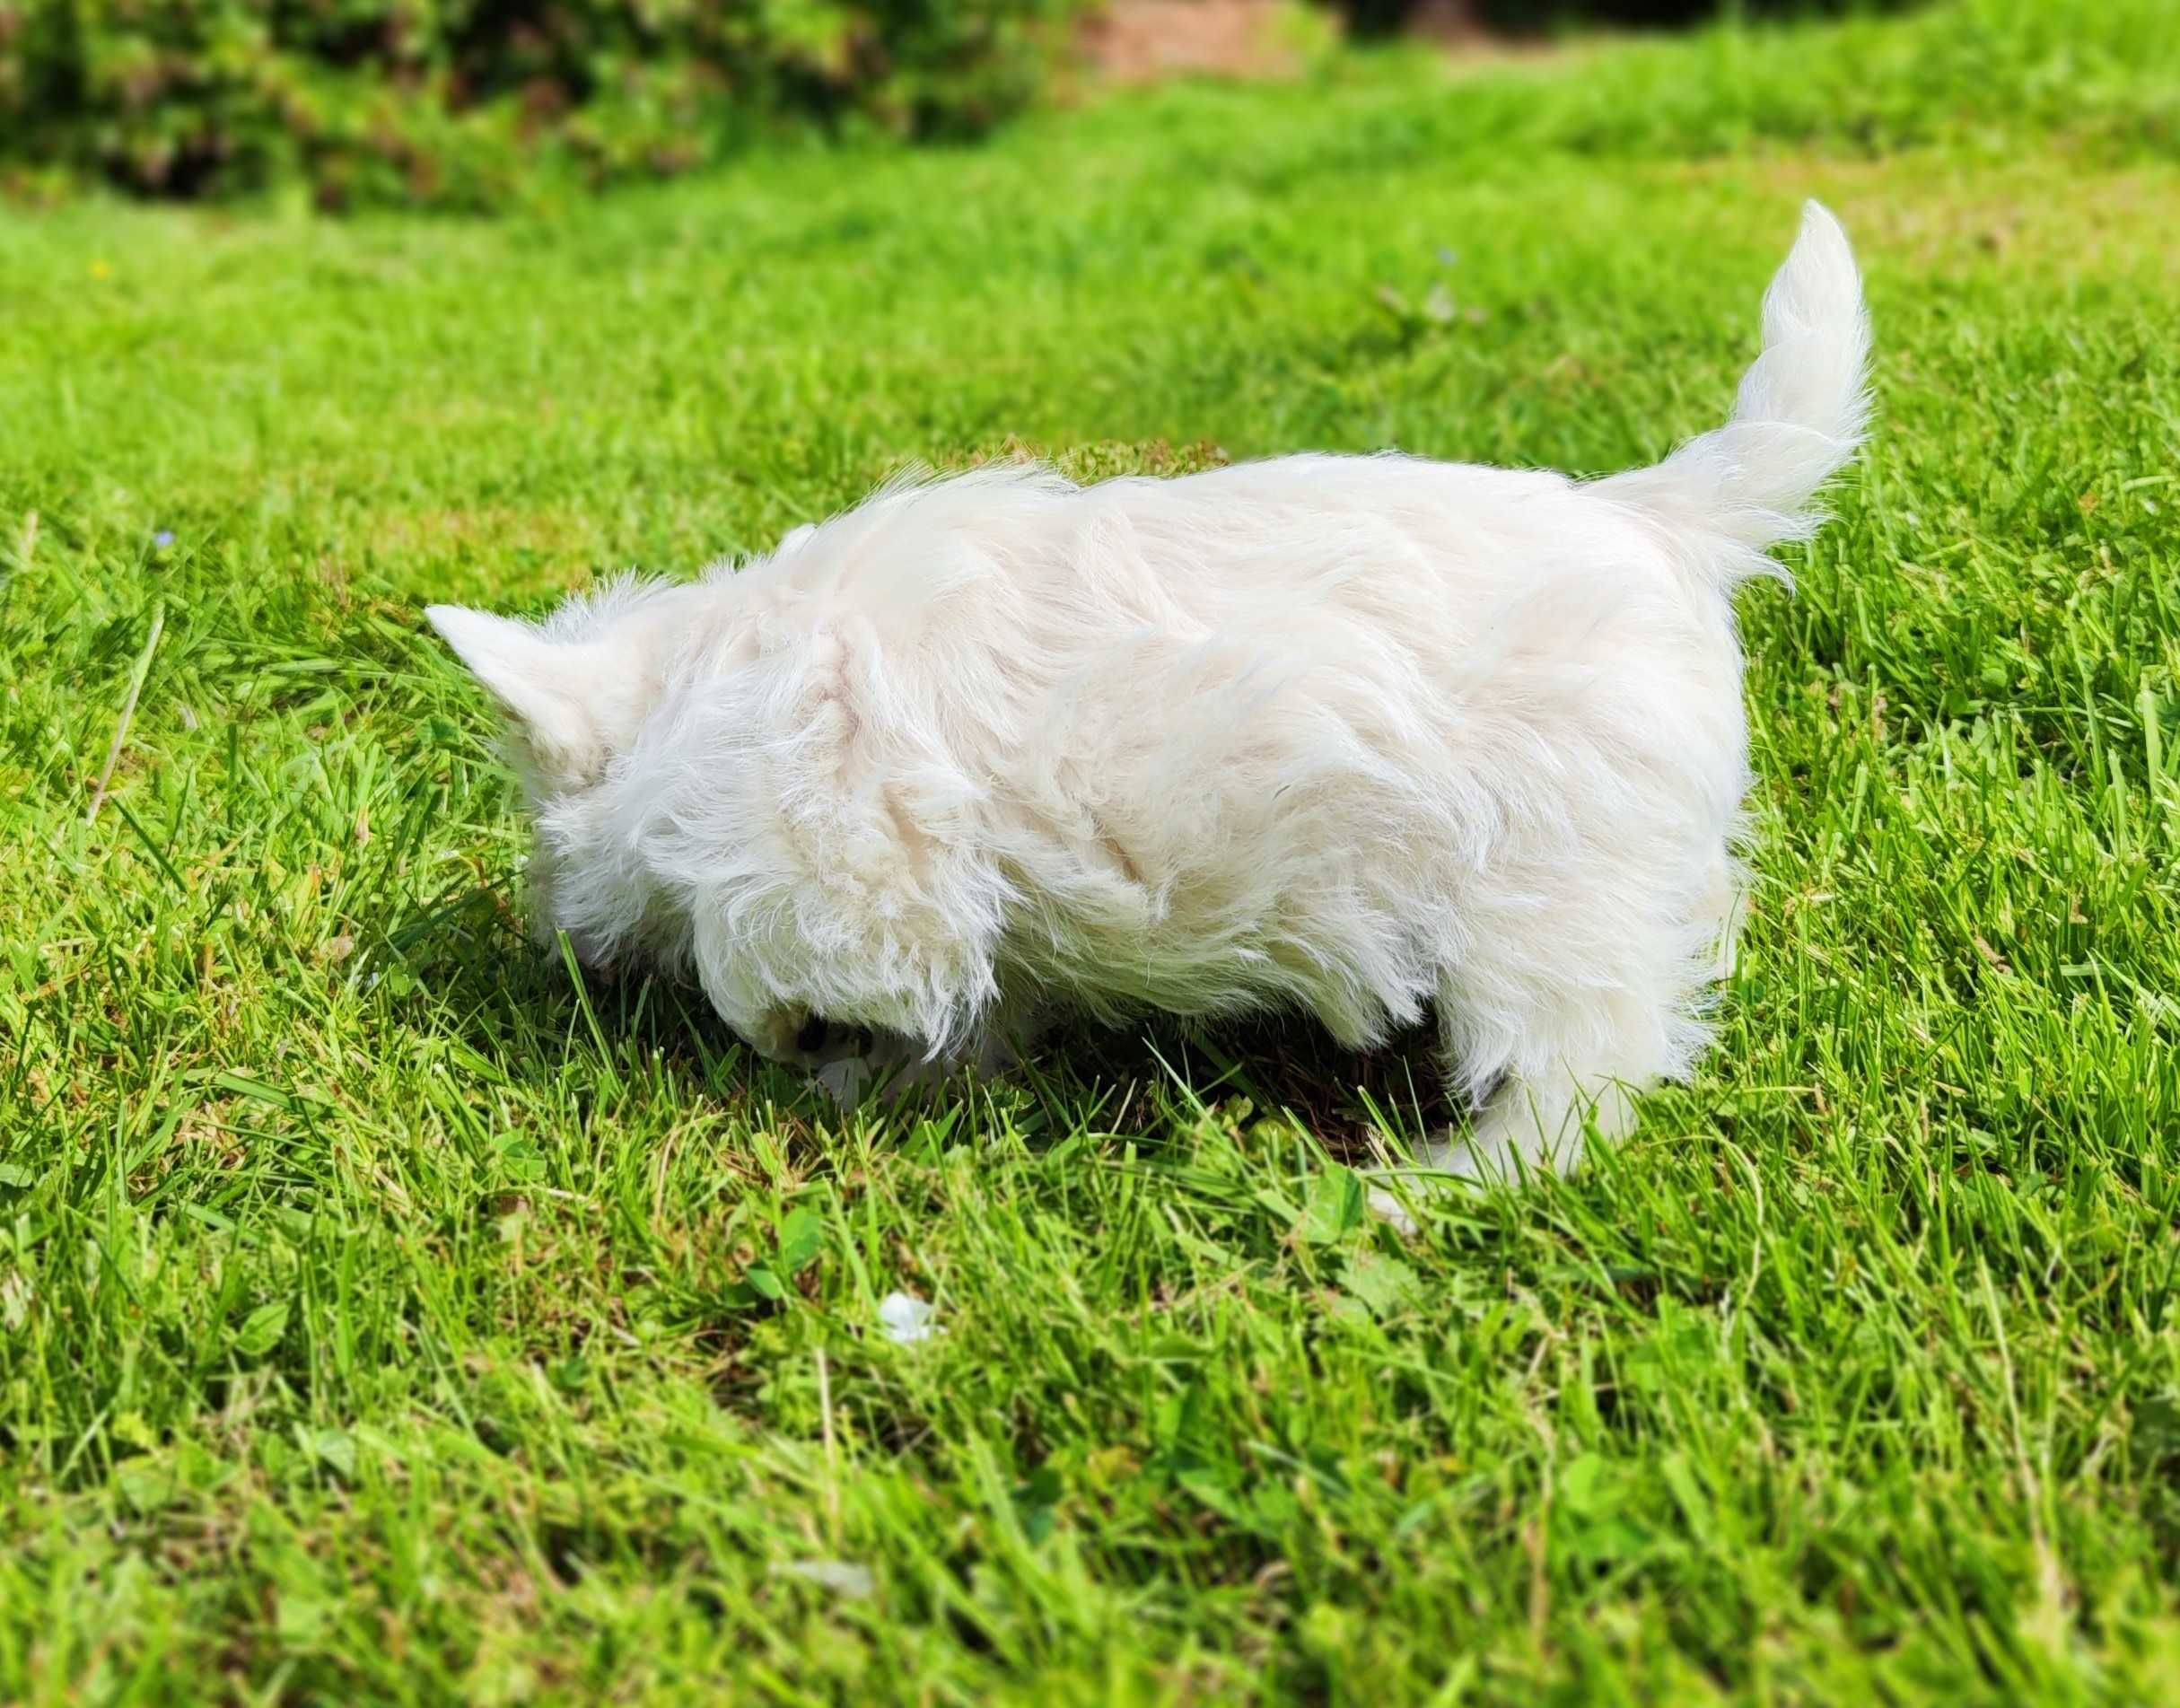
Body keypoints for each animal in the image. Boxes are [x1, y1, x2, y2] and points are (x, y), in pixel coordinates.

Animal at [429, 204, 1874, 1187]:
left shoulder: (843, 868)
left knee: (1585, 1075)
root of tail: (1663, 519)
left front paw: (805, 1054)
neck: (708, 689)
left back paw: (1443, 1185)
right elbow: (982, 1005)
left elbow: (784, 966)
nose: (551, 943)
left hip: (1539, 904)